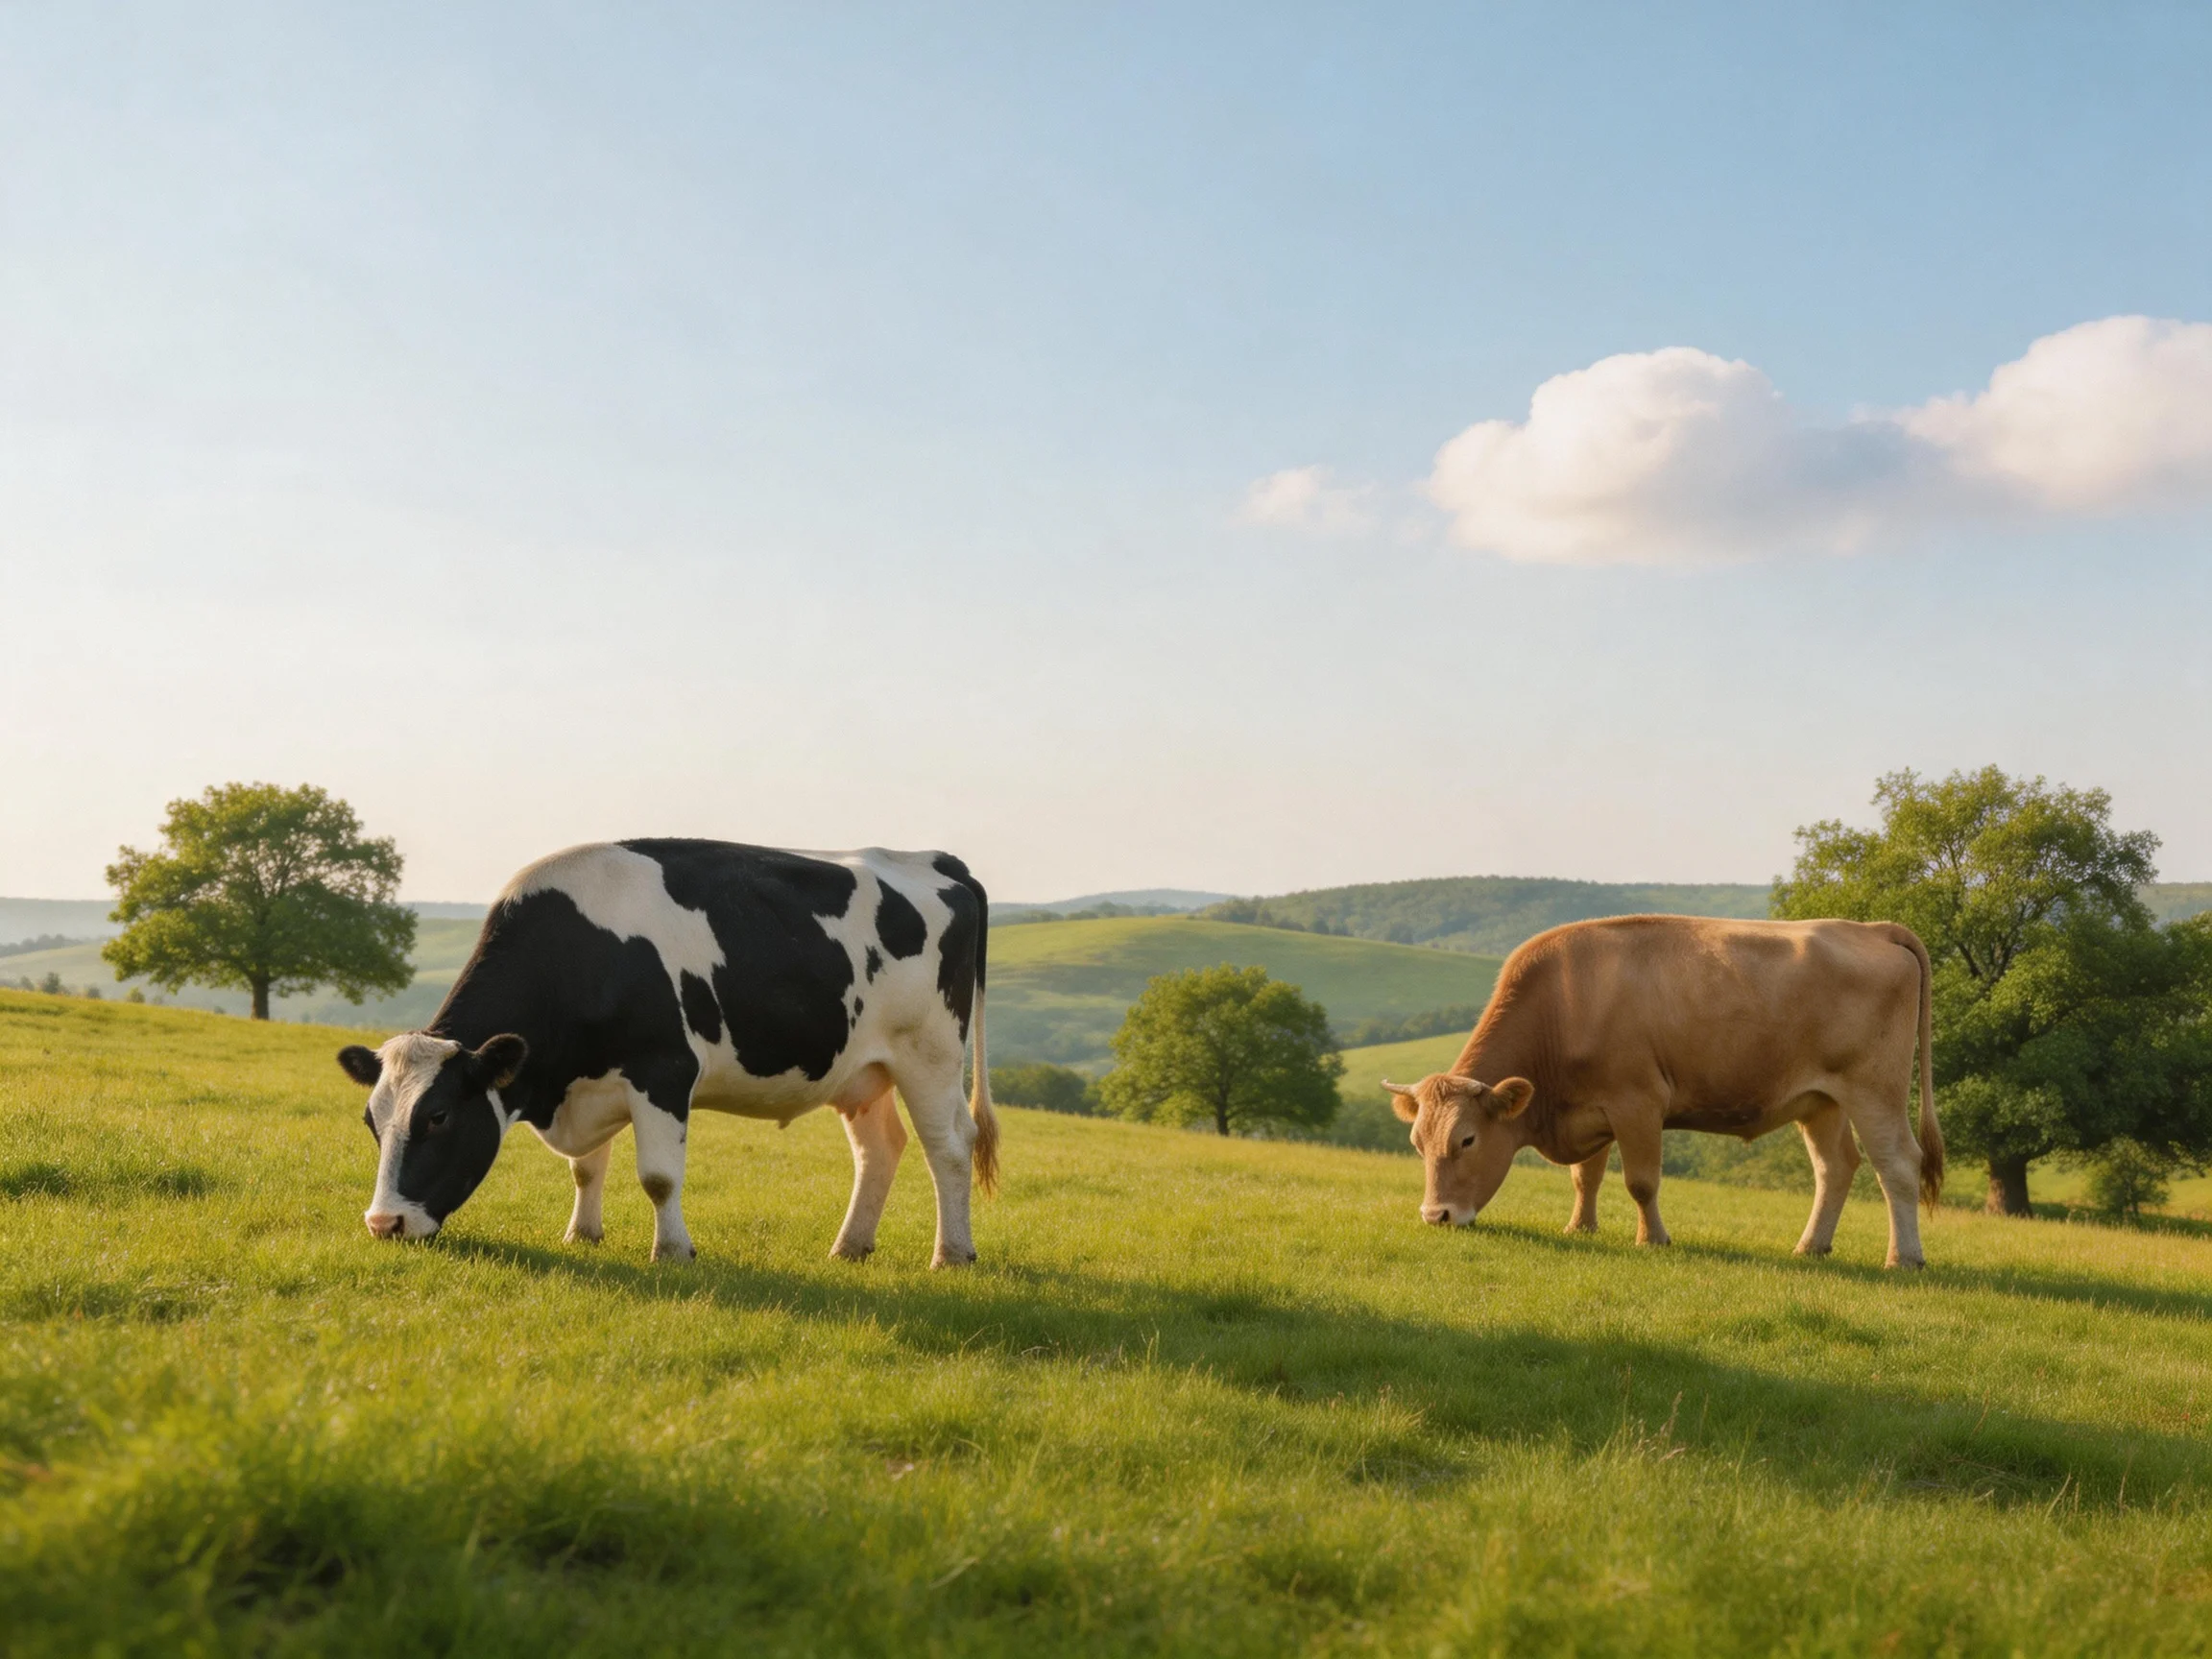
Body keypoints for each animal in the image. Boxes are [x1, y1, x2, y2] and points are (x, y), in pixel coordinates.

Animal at [334, 839, 999, 1267]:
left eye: (438, 1116)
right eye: (371, 1122)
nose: (383, 1223)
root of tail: (933, 859)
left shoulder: (664, 1072)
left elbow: (657, 1177)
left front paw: (673, 1251)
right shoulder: (588, 1082)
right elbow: (586, 1169)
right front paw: (582, 1234)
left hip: (930, 1055)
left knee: (949, 1148)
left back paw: (952, 1253)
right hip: (862, 1071)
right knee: (880, 1148)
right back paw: (850, 1247)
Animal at [1383, 915, 1942, 1267]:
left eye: (1467, 1140)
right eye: (1416, 1143)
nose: (1436, 1216)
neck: (1563, 1006)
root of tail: (1871, 929)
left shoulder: (1638, 1103)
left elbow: (1641, 1182)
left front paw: (1652, 1240)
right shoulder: (1591, 1110)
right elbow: (1586, 1178)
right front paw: (1580, 1228)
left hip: (1875, 1090)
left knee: (1897, 1163)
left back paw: (1904, 1258)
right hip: (1822, 1101)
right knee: (1835, 1166)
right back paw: (1811, 1247)